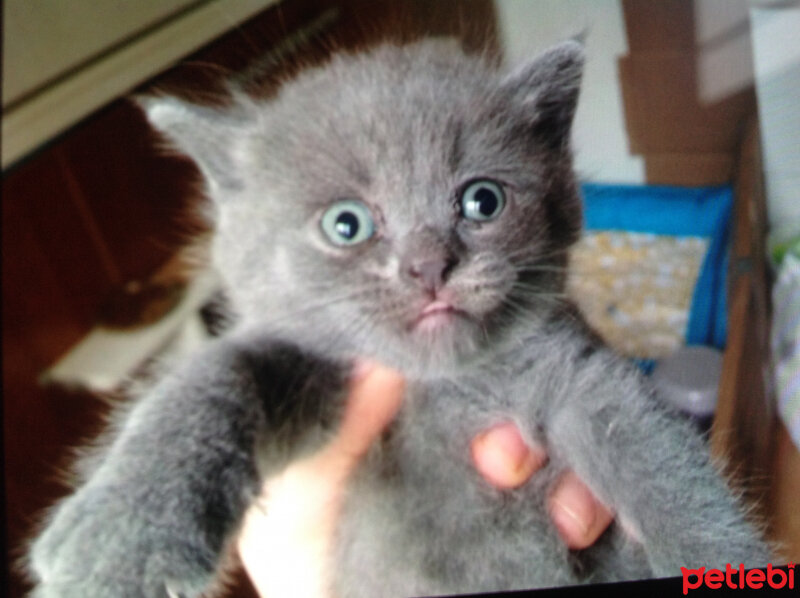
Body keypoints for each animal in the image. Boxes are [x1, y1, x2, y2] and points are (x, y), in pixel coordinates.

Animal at [28, 41, 772, 598]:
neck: (443, 388)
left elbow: (662, 467)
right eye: (346, 224)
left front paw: (724, 557)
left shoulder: (577, 376)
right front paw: (121, 537)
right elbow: (220, 373)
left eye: (482, 201)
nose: (428, 266)